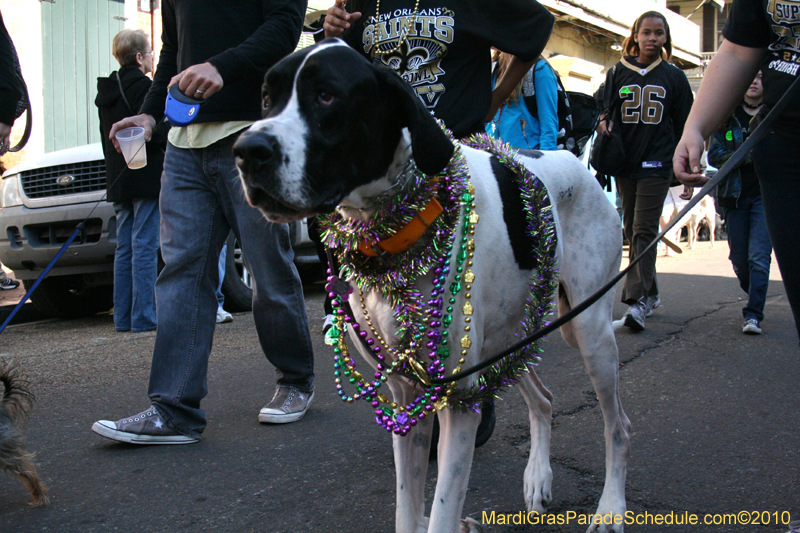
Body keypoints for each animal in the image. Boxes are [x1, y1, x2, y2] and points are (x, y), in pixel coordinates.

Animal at [234, 39, 628, 532]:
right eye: (267, 98)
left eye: (326, 96)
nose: (245, 151)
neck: (396, 234)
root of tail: (573, 161)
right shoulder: (408, 399)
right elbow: (407, 507)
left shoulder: (458, 401)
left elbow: (440, 510)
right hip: (511, 335)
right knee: (543, 398)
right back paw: (538, 476)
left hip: (589, 331)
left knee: (618, 426)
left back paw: (611, 507)